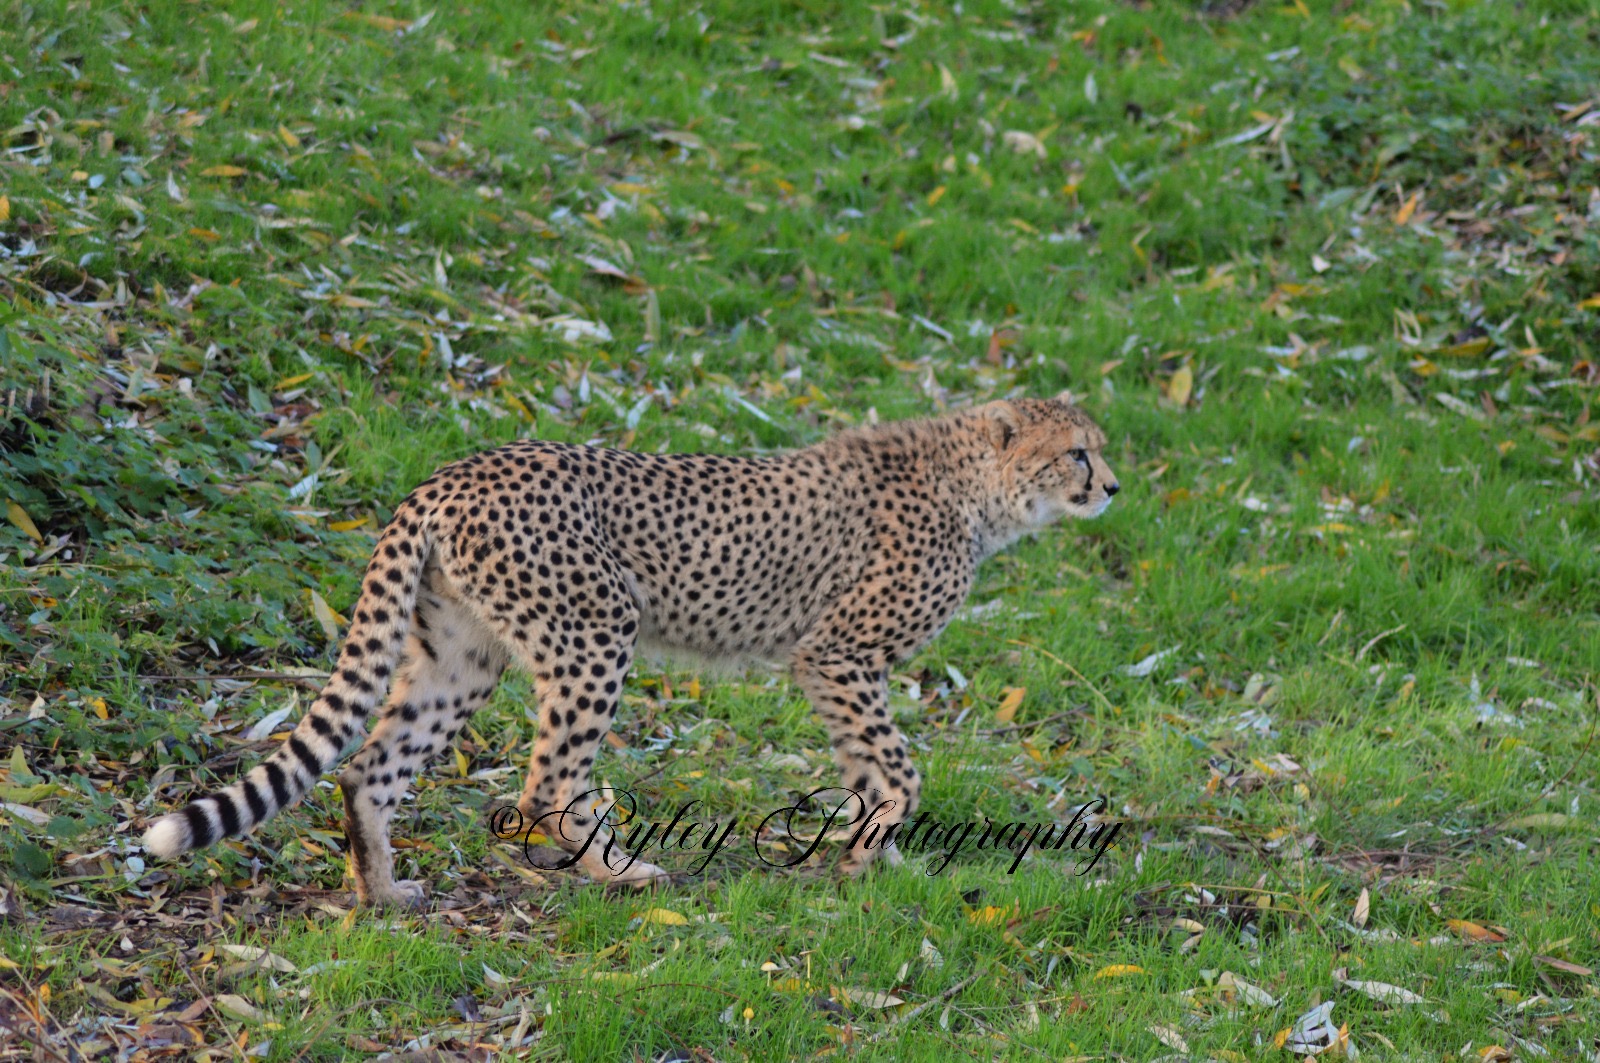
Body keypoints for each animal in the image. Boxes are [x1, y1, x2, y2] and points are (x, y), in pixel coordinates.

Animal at [141, 392, 1120, 906]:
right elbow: (902, 771)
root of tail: (456, 470)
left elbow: (866, 770)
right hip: (594, 633)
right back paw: (616, 872)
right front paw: (866, 853)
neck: (977, 487)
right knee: (545, 787)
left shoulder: (836, 669)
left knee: (370, 764)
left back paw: (382, 891)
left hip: (462, 652)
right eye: (1076, 452)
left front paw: (862, 860)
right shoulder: (839, 655)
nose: (1111, 487)